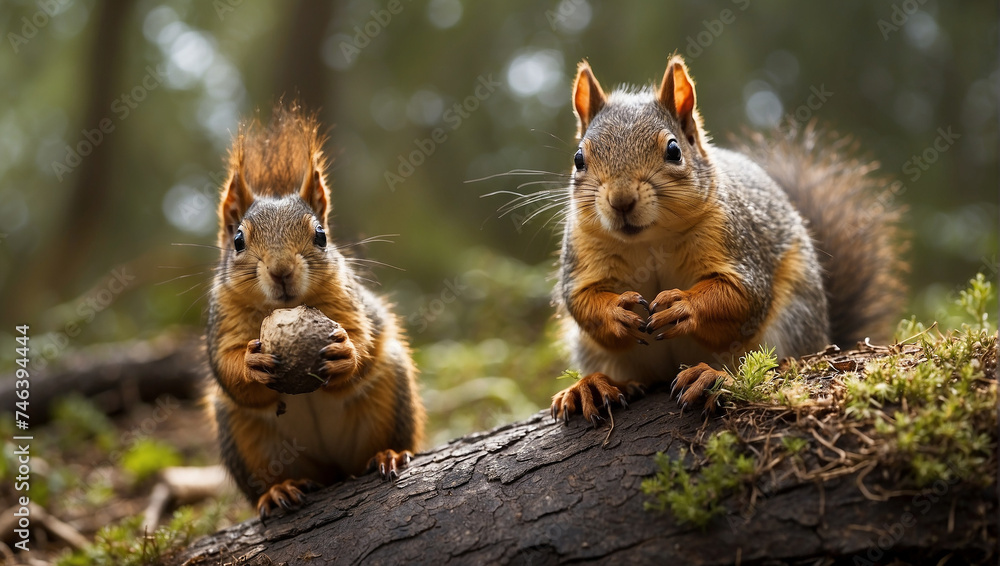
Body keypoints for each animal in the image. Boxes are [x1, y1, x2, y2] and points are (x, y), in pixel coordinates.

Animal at [205, 104, 425, 519]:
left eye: (321, 235)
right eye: (238, 239)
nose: (281, 271)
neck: (283, 307)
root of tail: (333, 472)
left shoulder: (348, 299)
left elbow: (361, 334)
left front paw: (345, 353)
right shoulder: (221, 320)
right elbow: (226, 367)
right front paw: (250, 364)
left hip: (392, 392)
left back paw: (387, 455)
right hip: (243, 437)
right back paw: (278, 490)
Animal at [550, 55, 905, 423]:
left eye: (674, 150)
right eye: (579, 159)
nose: (621, 201)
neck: (650, 240)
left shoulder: (738, 244)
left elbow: (740, 296)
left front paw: (683, 306)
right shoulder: (582, 252)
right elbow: (581, 300)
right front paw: (615, 312)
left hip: (792, 321)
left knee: (771, 366)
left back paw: (712, 376)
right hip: (592, 350)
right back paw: (591, 386)